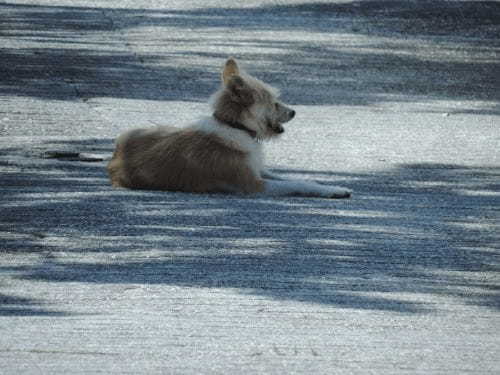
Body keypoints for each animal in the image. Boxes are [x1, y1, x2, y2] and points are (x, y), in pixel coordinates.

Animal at [108, 58, 352, 200]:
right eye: (273, 102)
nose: (293, 112)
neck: (235, 126)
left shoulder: (258, 170)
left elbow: (294, 177)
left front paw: (333, 187)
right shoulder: (254, 184)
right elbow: (296, 182)